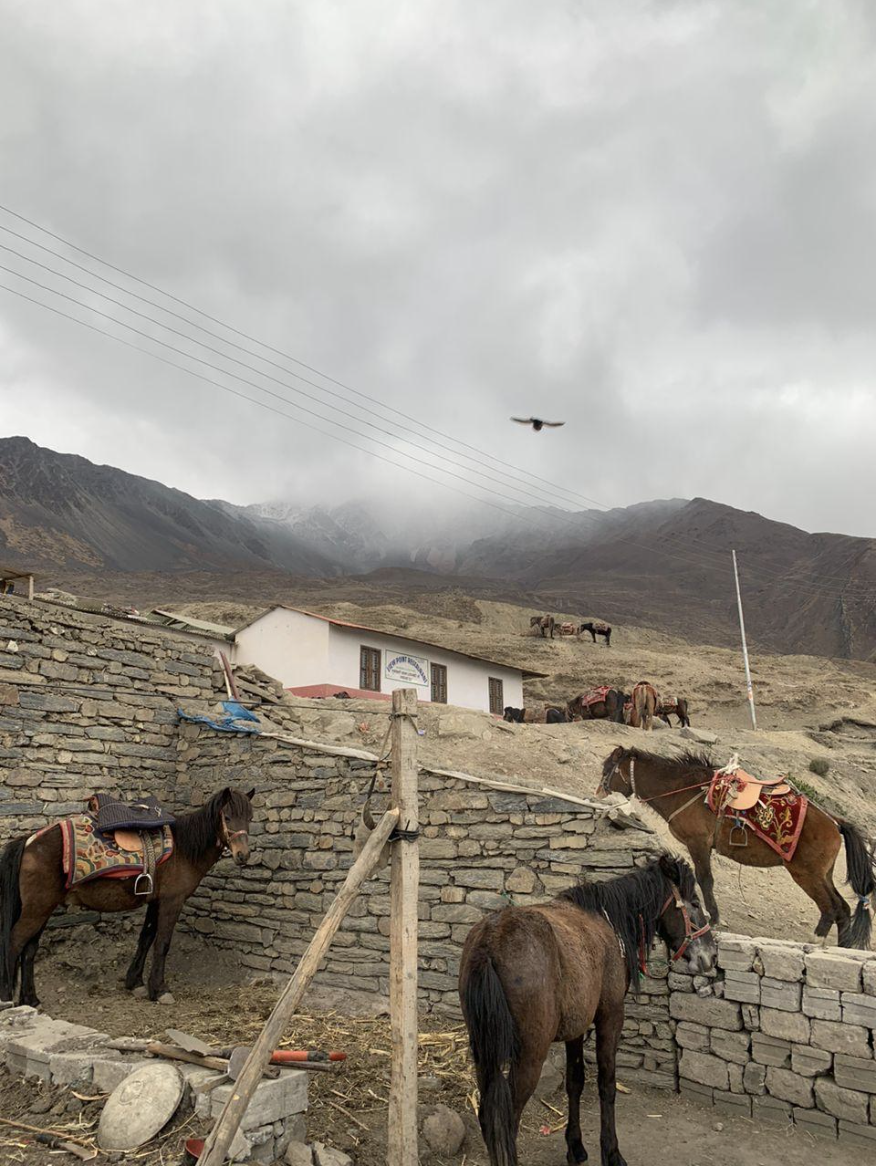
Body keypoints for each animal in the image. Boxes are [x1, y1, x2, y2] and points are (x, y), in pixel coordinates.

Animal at [0, 787, 255, 1007]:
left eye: (250, 818)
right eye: (228, 817)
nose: (243, 855)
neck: (183, 849)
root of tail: (30, 841)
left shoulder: (156, 901)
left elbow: (146, 938)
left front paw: (136, 983)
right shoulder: (172, 901)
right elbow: (162, 943)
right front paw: (159, 990)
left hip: (42, 908)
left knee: (29, 949)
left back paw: (31, 1000)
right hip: (38, 909)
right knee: (14, 943)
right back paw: (7, 999)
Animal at [459, 853, 715, 1166]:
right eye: (694, 903)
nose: (711, 955)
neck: (607, 923)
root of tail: (490, 942)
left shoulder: (575, 1029)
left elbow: (575, 1081)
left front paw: (575, 1145)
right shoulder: (610, 1016)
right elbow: (606, 1083)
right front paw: (611, 1150)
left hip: (484, 1054)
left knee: (488, 1118)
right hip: (529, 1055)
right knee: (508, 1119)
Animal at [599, 747, 876, 948]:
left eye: (606, 770)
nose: (600, 793)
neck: (682, 790)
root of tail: (835, 822)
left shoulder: (698, 843)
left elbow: (705, 879)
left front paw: (714, 917)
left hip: (806, 873)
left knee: (830, 906)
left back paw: (817, 939)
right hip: (823, 873)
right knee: (843, 908)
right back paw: (843, 946)